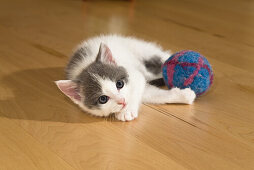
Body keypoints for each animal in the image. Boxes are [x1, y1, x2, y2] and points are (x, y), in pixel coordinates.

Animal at [55, 34, 194, 121]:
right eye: (103, 99)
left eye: (119, 84)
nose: (122, 101)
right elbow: (153, 94)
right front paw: (184, 96)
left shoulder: (135, 75)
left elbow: (137, 87)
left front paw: (126, 111)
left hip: (141, 48)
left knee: (162, 57)